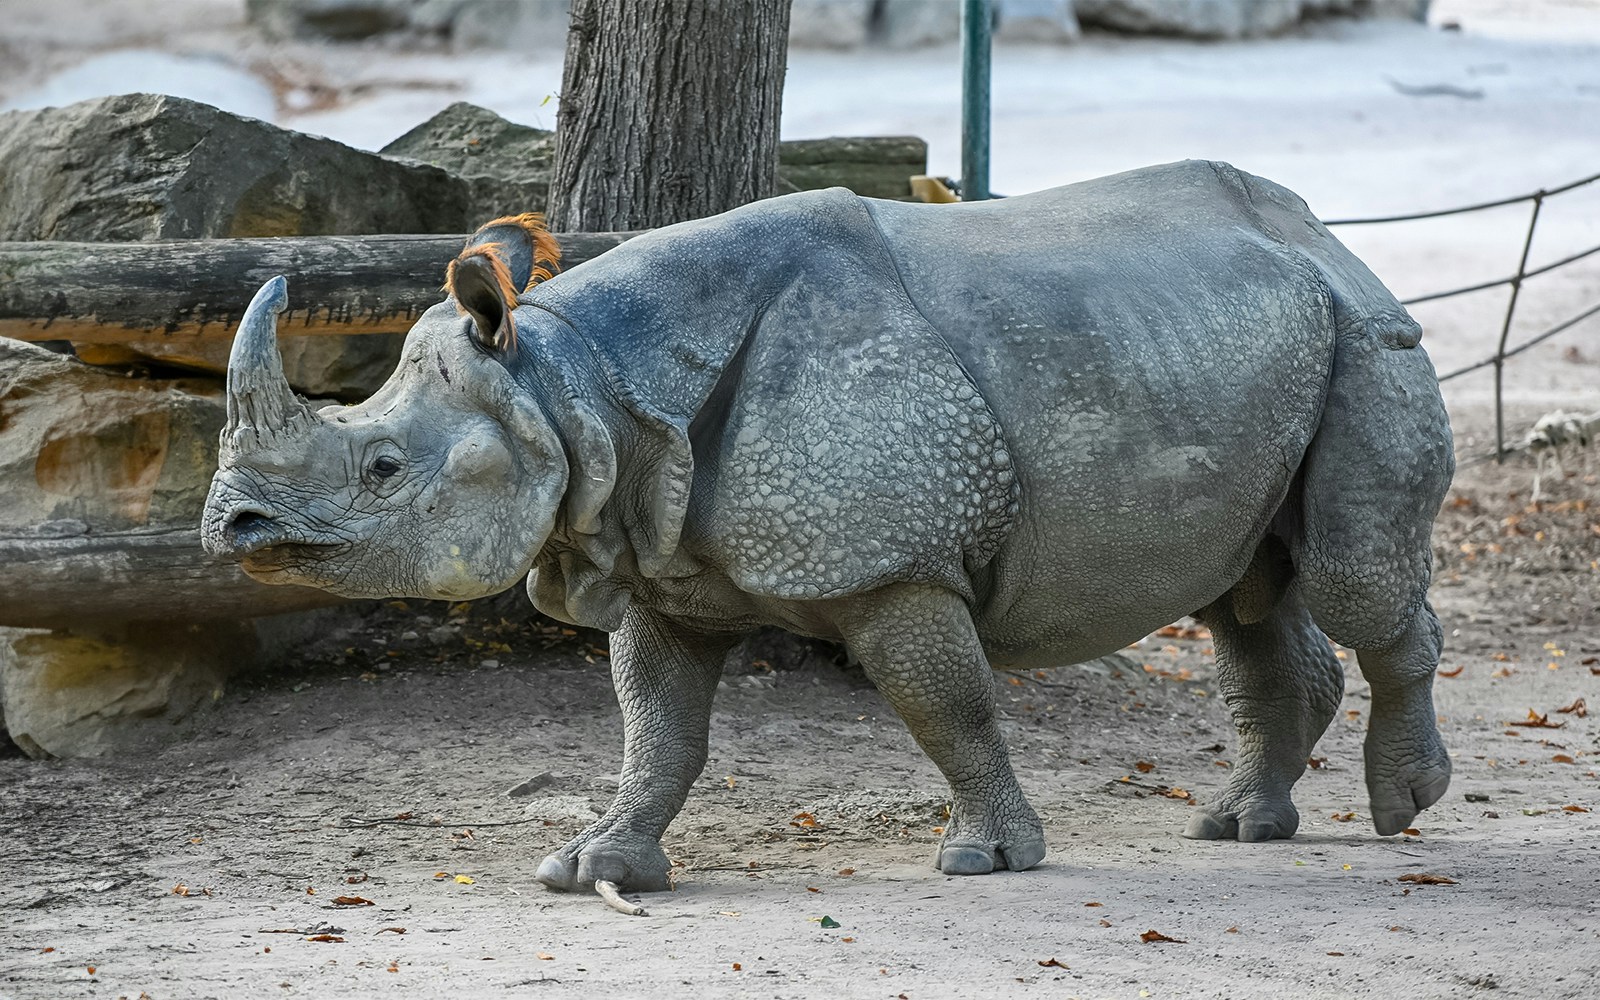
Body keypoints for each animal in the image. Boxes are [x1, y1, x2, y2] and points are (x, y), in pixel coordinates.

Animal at [202, 161, 1455, 896]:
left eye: (382, 466)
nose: (230, 526)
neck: (573, 387)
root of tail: (1328, 238)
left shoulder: (892, 568)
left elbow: (946, 705)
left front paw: (986, 858)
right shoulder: (657, 562)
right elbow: (656, 730)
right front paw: (597, 865)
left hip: (1364, 330)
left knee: (1348, 581)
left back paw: (1404, 805)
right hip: (1221, 342)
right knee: (1245, 592)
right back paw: (1242, 828)